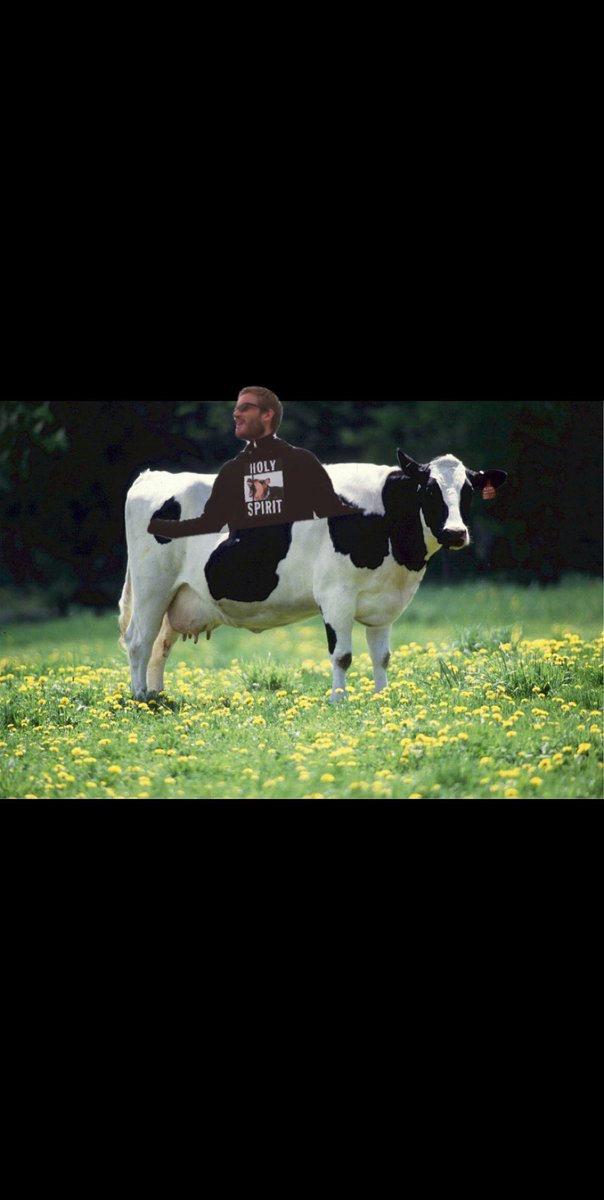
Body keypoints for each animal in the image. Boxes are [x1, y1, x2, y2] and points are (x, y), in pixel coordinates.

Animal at [118, 450, 507, 700]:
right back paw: (140, 698)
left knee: (160, 646)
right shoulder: (336, 595)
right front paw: (339, 700)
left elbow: (381, 656)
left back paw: (158, 696)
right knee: (139, 641)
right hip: (152, 587)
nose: (456, 532)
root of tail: (153, 476)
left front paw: (383, 697)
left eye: (468, 491)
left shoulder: (383, 604)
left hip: (177, 596)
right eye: (429, 489)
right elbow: (343, 655)